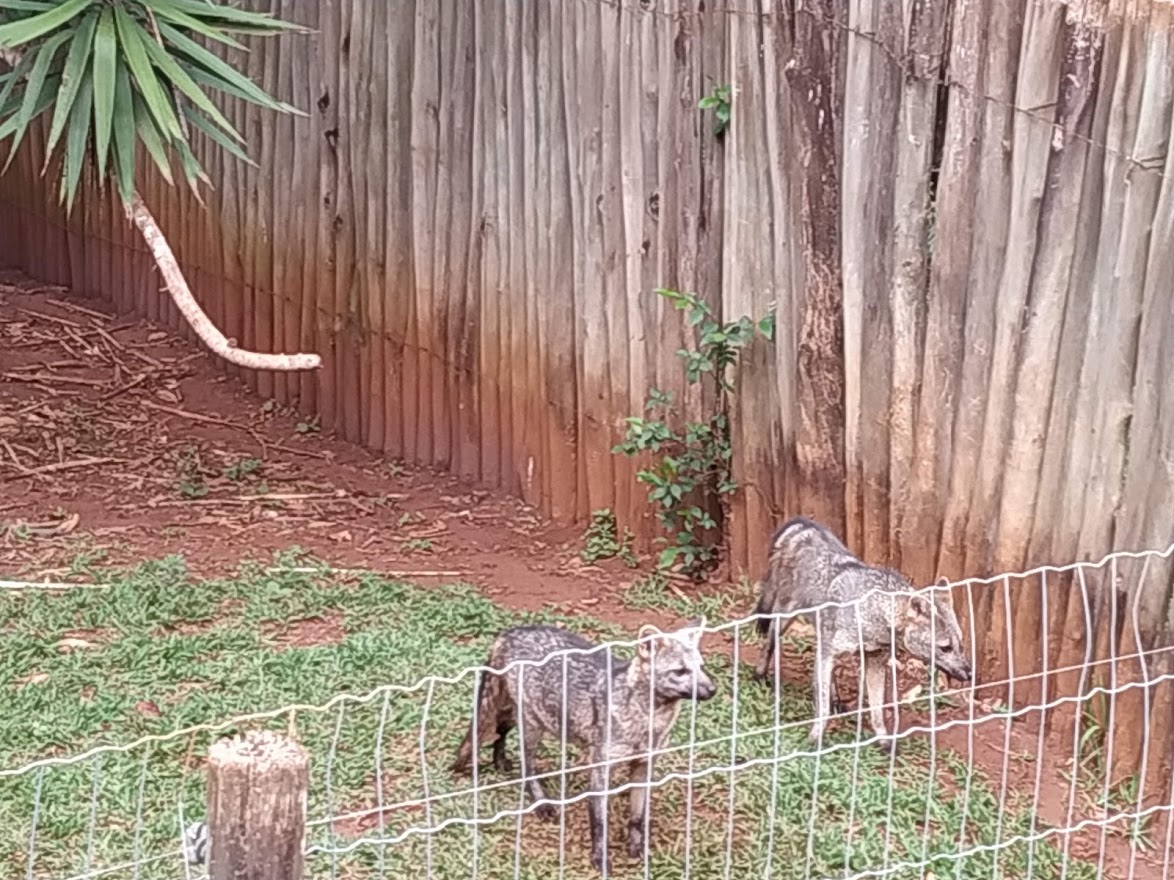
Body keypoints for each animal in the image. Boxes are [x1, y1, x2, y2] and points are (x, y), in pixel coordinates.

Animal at [451, 619, 716, 873]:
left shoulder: (643, 765)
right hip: (531, 725)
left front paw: (636, 848)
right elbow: (599, 823)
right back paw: (540, 802)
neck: (647, 721)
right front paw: (600, 858)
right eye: (680, 671)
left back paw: (500, 760)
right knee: (525, 766)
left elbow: (637, 818)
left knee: (500, 733)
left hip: (520, 715)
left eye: (702, 667)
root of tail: (511, 631)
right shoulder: (600, 769)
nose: (713, 690)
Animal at [751, 516, 972, 754]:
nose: (969, 673)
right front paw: (815, 738)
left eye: (961, 645)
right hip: (785, 618)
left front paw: (883, 740)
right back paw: (760, 674)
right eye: (945, 647)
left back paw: (836, 699)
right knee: (769, 643)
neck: (871, 615)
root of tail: (802, 523)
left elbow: (876, 710)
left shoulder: (874, 661)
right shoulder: (830, 651)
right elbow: (823, 708)